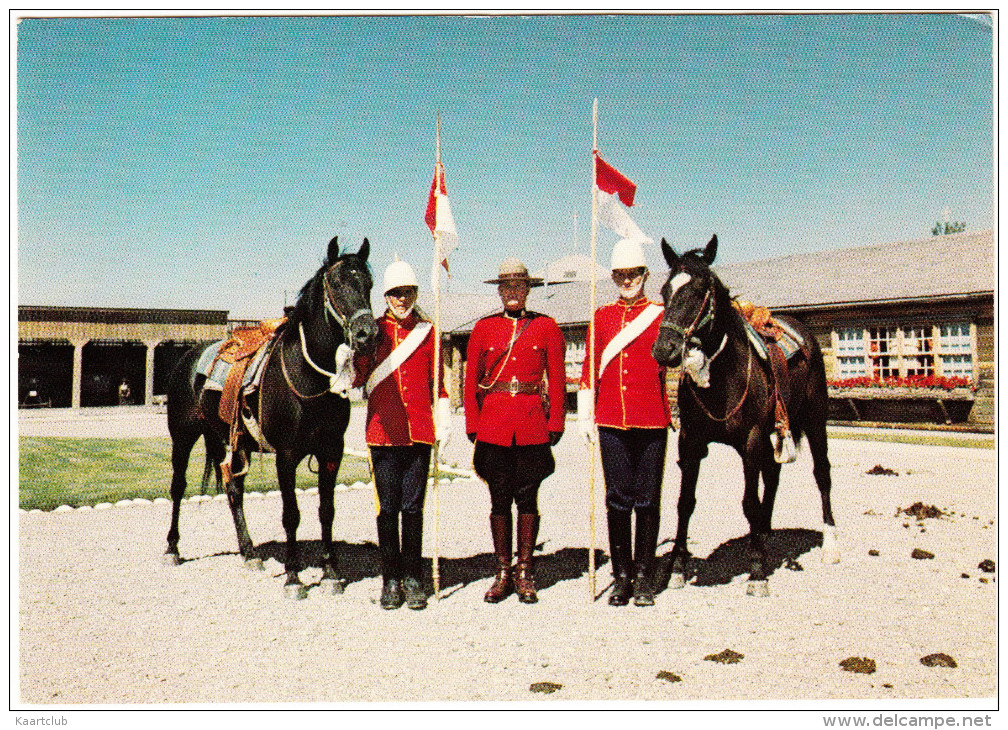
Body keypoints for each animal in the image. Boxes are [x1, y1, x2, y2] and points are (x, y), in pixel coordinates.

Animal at [165, 237, 379, 596]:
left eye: (369, 284)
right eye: (336, 283)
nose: (367, 333)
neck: (307, 375)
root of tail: (188, 358)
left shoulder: (331, 453)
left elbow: (326, 511)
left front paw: (330, 572)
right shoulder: (286, 456)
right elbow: (291, 514)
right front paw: (294, 577)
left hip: (233, 443)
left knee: (234, 491)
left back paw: (249, 553)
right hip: (182, 437)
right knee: (178, 487)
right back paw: (172, 548)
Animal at [649, 236, 838, 596]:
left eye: (700, 291)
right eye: (665, 291)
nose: (664, 349)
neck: (723, 377)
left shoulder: (751, 440)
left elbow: (748, 501)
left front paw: (757, 572)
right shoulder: (690, 442)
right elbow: (684, 502)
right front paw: (676, 568)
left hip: (815, 421)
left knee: (821, 474)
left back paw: (830, 543)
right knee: (773, 476)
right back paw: (763, 531)